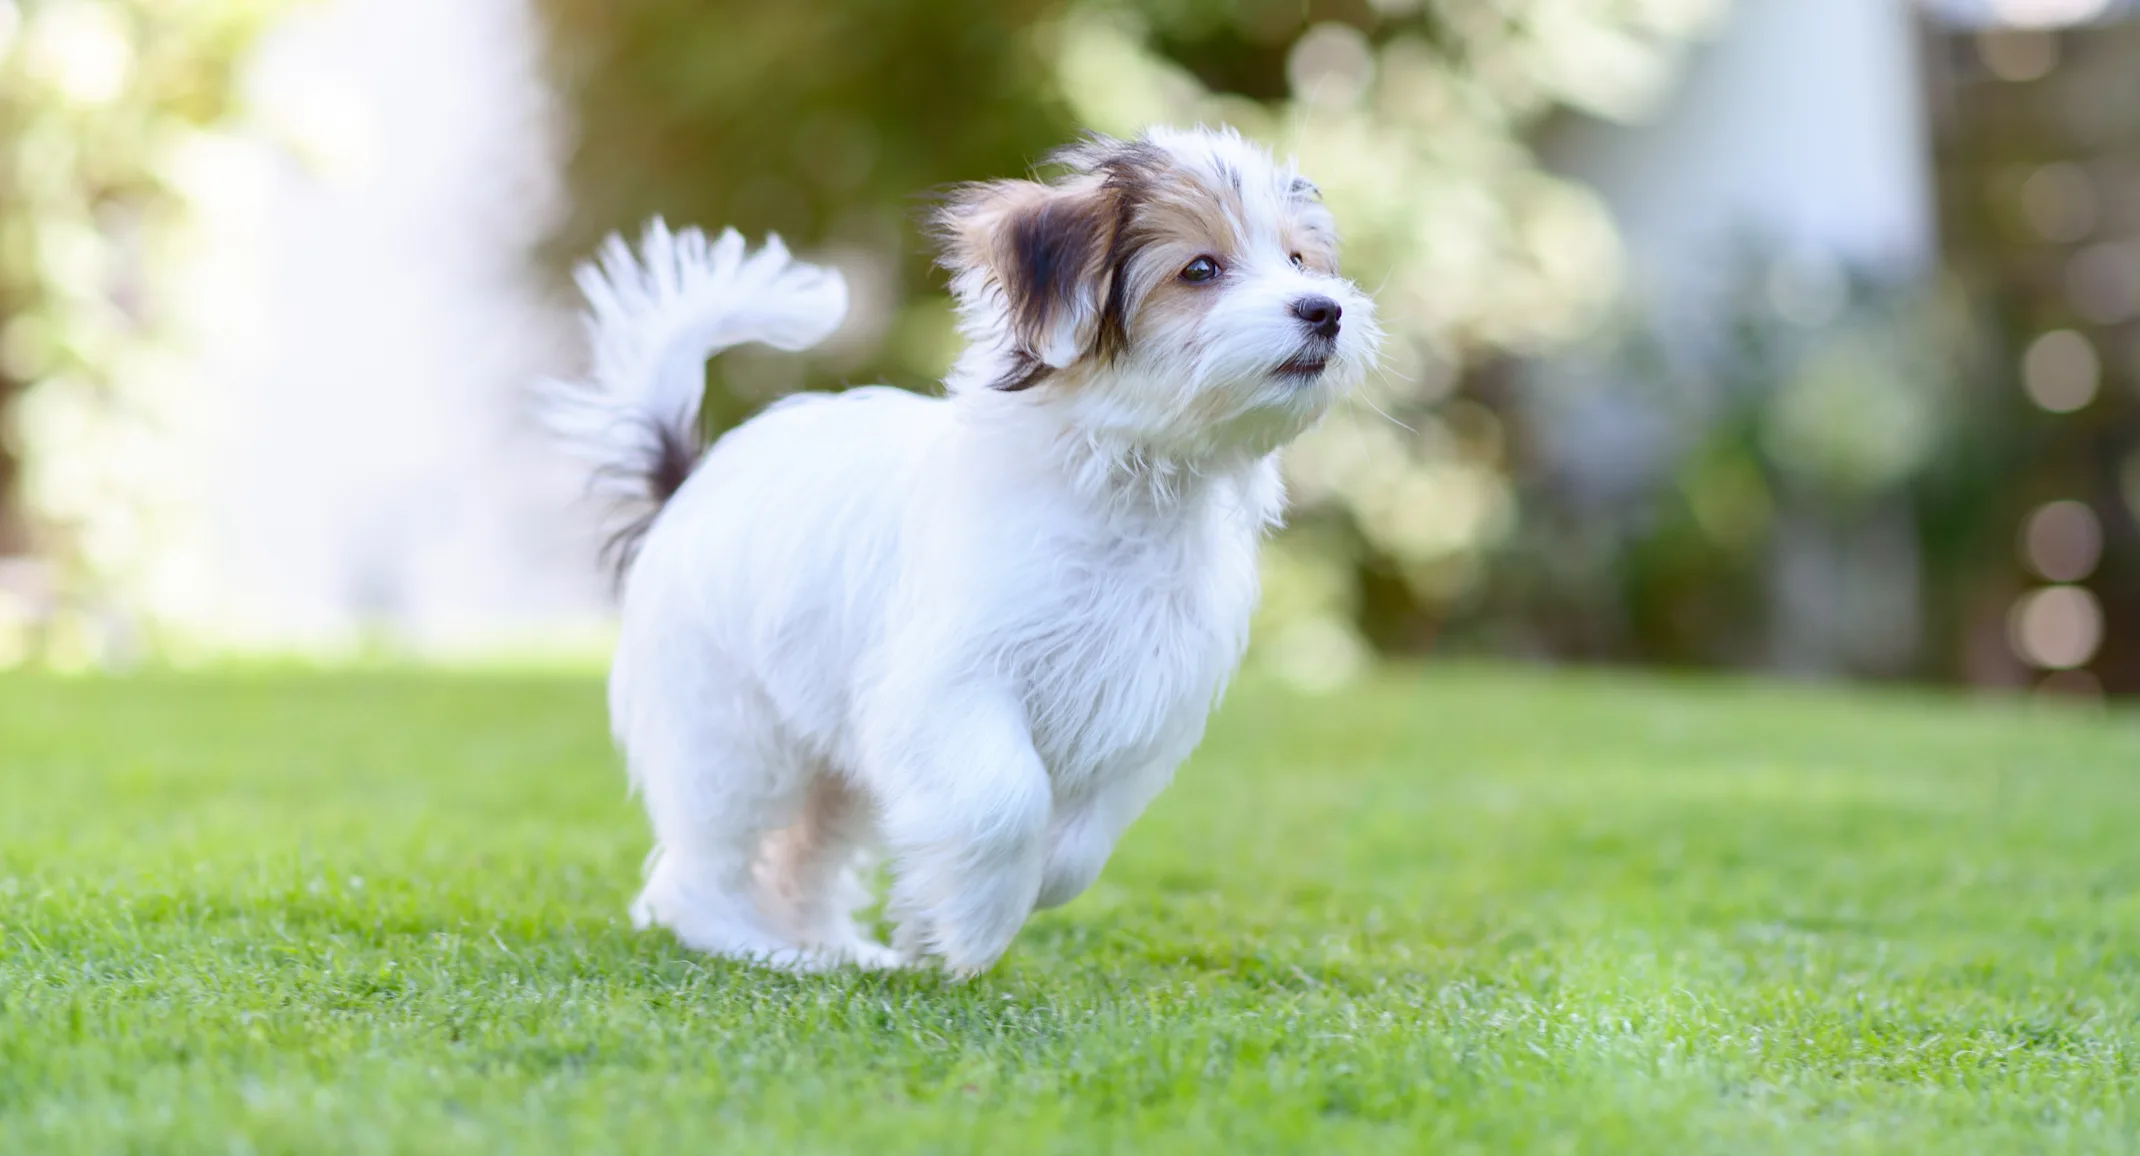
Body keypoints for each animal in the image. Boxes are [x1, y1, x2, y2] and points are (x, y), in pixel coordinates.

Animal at [543, 128, 1378, 976]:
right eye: (1201, 269)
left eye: (1299, 260)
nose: (1326, 310)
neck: (1128, 478)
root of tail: (686, 485)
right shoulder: (948, 682)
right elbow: (1004, 796)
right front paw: (975, 923)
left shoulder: (1140, 706)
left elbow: (1079, 846)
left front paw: (940, 914)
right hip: (732, 730)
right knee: (700, 865)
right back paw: (754, 946)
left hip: (831, 758)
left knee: (806, 856)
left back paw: (837, 950)